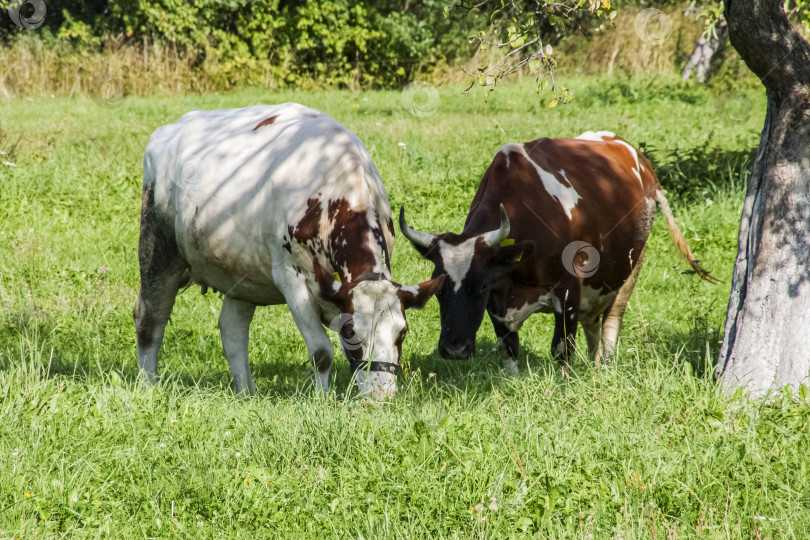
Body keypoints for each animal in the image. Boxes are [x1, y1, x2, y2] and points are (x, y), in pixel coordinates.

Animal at [136, 103, 446, 396]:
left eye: (402, 332)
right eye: (350, 331)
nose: (381, 395)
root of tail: (172, 128)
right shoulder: (292, 278)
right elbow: (322, 353)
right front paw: (323, 401)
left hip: (241, 273)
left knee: (232, 331)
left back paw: (247, 394)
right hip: (158, 246)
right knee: (149, 318)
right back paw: (149, 385)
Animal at [400, 130, 712, 372]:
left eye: (480, 287)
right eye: (438, 290)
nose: (454, 350)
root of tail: (637, 158)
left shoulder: (569, 291)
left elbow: (562, 349)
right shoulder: (499, 305)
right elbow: (509, 348)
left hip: (630, 267)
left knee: (612, 323)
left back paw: (606, 367)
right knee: (593, 326)